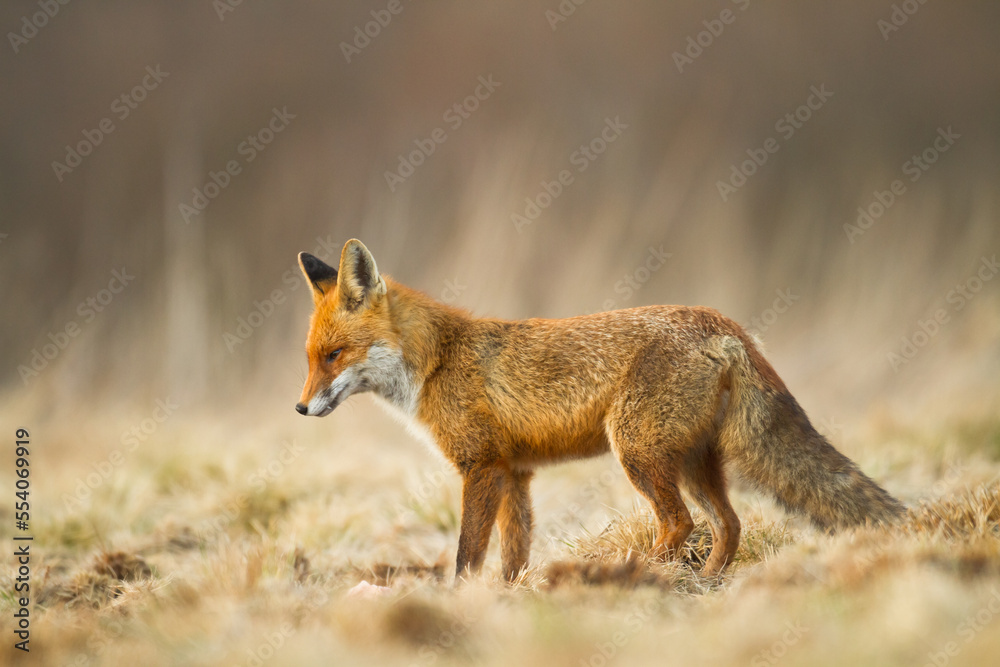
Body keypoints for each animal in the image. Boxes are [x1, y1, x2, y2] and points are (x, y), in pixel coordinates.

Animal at [292, 239, 908, 580]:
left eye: (334, 355)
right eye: (310, 357)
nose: (299, 408)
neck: (438, 360)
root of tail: (724, 323)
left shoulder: (482, 468)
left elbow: (468, 554)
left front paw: (461, 601)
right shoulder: (516, 474)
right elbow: (514, 555)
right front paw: (510, 599)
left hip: (636, 452)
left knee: (681, 522)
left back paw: (645, 576)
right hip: (692, 461)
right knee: (728, 525)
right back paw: (704, 585)